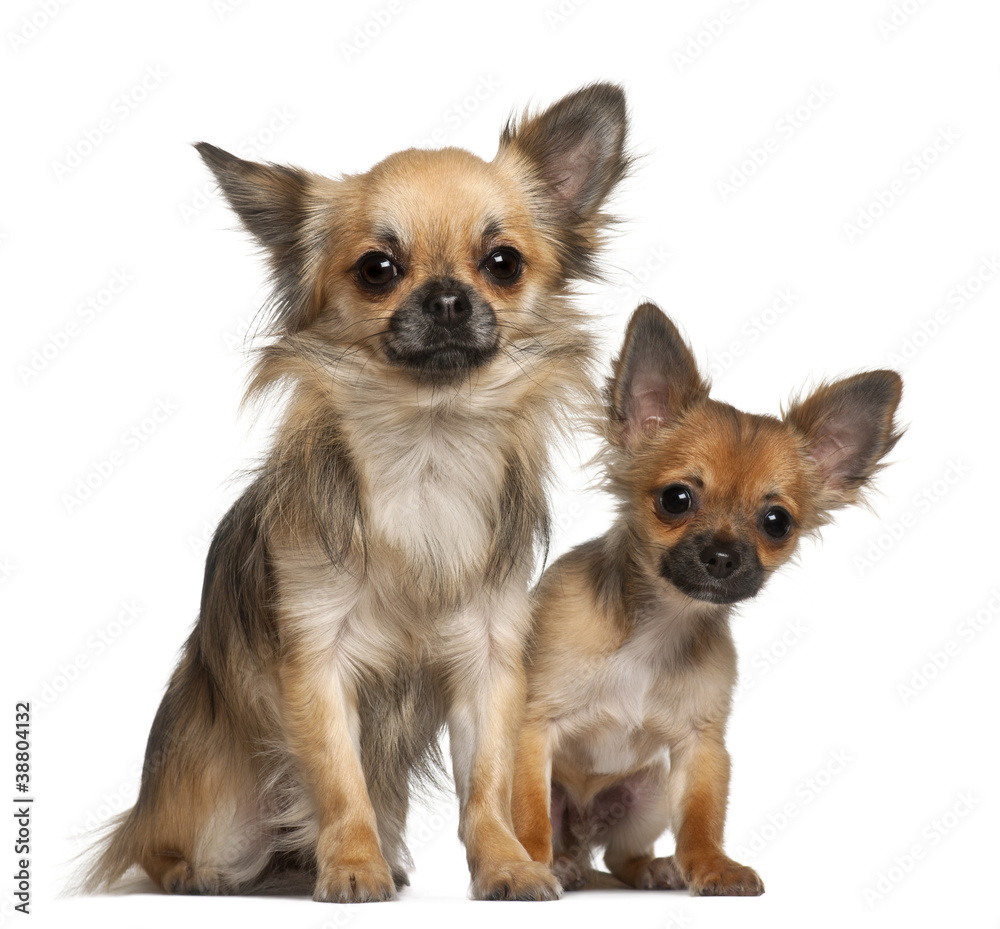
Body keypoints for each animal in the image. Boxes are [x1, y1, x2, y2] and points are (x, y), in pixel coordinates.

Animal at [88, 85, 632, 900]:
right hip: (215, 810)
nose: (447, 298)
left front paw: (507, 863)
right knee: (170, 850)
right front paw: (351, 864)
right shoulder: (318, 660)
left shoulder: (488, 659)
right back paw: (207, 872)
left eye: (502, 263)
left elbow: (489, 784)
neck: (427, 449)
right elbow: (341, 783)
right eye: (378, 269)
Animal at [512, 302, 904, 892]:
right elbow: (530, 813)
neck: (659, 625)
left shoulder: (701, 746)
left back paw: (655, 868)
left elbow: (701, 816)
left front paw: (712, 865)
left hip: (648, 795)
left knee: (622, 856)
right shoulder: (533, 729)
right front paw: (530, 866)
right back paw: (559, 863)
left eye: (776, 522)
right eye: (676, 499)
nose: (722, 556)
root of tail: (582, 838)